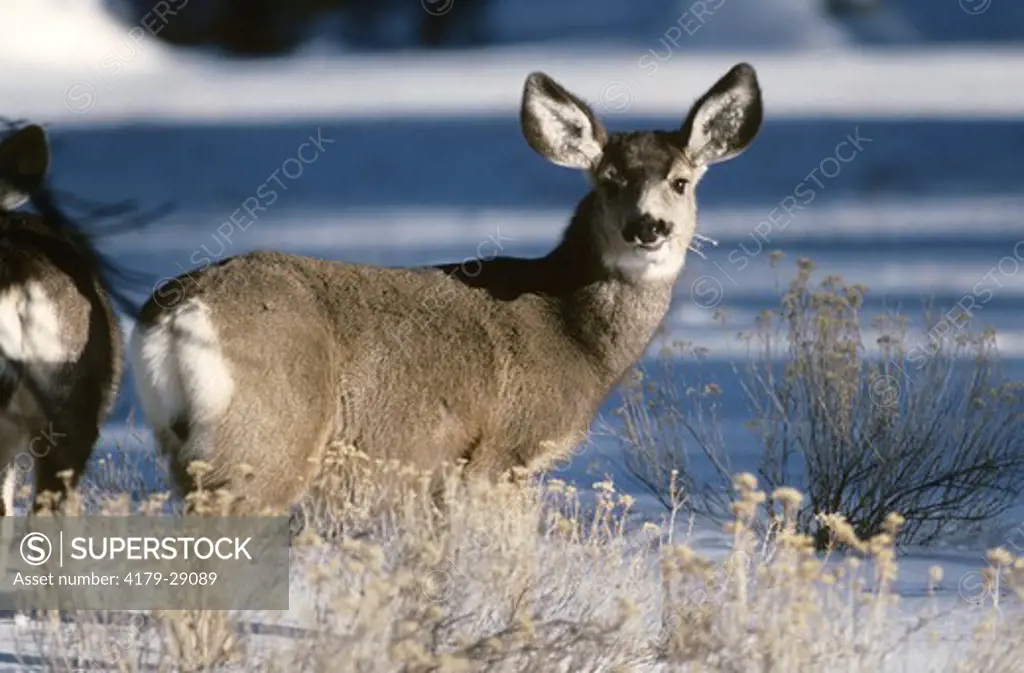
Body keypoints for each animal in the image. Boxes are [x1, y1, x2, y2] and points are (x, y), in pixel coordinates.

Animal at [130, 64, 761, 514]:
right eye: (607, 182)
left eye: (680, 181)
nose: (647, 227)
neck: (570, 332)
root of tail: (181, 309)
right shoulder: (498, 455)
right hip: (265, 442)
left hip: (184, 452)